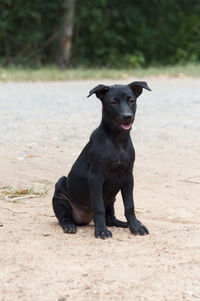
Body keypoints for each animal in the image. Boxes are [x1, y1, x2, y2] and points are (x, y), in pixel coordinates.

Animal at [52, 81, 151, 238]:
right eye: (113, 102)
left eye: (131, 100)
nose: (127, 116)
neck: (117, 141)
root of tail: (84, 218)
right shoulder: (95, 177)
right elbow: (99, 208)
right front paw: (101, 231)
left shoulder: (128, 177)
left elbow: (129, 206)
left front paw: (135, 226)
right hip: (60, 191)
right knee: (63, 217)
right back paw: (69, 226)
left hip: (112, 196)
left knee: (110, 218)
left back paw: (123, 223)